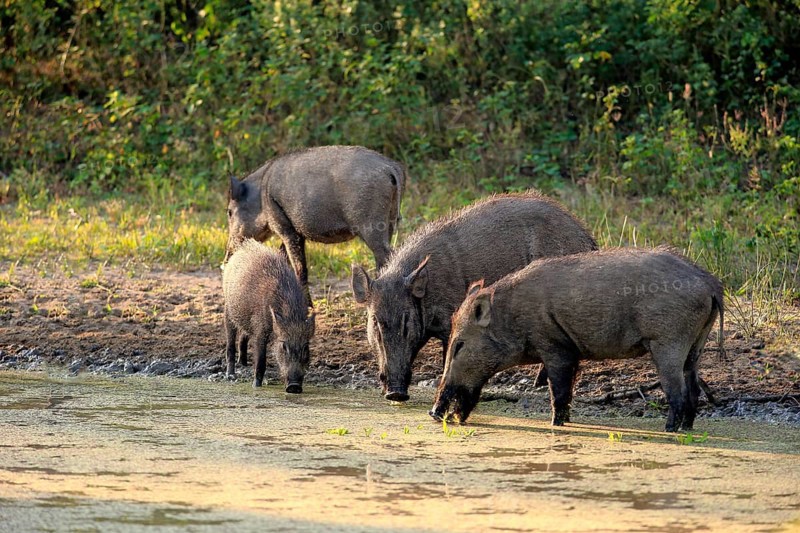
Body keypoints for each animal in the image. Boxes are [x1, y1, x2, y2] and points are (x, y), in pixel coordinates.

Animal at [223, 239, 316, 392]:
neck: (291, 314)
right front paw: (256, 386)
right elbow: (260, 362)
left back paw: (243, 363)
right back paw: (230, 375)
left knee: (243, 336)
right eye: (284, 345)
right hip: (228, 312)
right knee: (230, 345)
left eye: (306, 347)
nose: (294, 386)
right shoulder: (260, 332)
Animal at [225, 145, 406, 302]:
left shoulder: (285, 227)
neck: (261, 197)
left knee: (386, 255)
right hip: (390, 223)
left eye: (229, 212)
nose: (226, 258)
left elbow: (300, 268)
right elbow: (283, 257)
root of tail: (390, 168)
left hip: (371, 226)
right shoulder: (297, 233)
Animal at [430, 247, 724, 432]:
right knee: (693, 387)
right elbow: (568, 391)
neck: (512, 318)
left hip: (668, 342)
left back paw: (669, 429)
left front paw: (555, 425)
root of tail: (712, 285)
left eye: (459, 345)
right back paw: (686, 427)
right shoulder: (570, 351)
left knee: (677, 391)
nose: (432, 412)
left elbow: (558, 390)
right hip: (696, 345)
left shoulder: (554, 347)